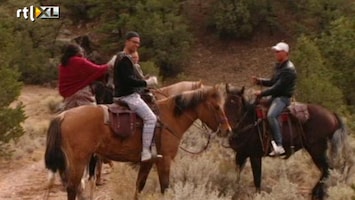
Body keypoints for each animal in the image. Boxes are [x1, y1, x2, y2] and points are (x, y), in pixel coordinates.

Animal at [44, 85, 232, 200]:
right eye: (216, 107)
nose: (227, 130)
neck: (169, 118)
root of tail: (63, 116)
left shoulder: (148, 161)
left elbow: (139, 186)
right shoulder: (164, 161)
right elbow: (165, 187)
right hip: (79, 161)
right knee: (72, 188)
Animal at [225, 85, 354, 200]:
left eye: (238, 106)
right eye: (226, 104)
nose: (230, 129)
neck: (250, 122)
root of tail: (332, 115)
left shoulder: (255, 156)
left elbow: (257, 179)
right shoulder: (241, 154)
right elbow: (237, 176)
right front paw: (234, 192)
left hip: (317, 150)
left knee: (327, 170)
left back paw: (316, 193)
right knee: (326, 171)